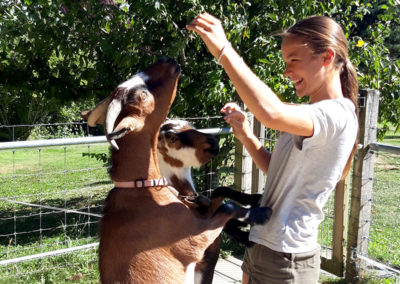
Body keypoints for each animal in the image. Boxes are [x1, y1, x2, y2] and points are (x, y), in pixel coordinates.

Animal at [81, 58, 270, 284]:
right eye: (142, 95)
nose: (167, 61)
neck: (143, 187)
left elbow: (219, 195)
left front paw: (250, 207)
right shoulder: (195, 240)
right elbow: (226, 208)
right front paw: (260, 214)